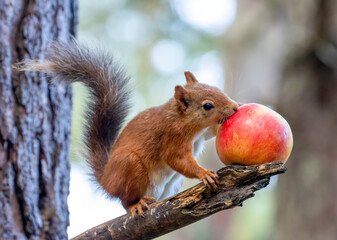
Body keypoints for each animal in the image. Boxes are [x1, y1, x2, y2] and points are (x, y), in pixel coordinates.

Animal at [19, 40, 238, 217]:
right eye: (207, 106)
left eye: (217, 88)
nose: (235, 107)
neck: (185, 122)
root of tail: (106, 181)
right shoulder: (172, 137)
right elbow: (178, 160)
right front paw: (204, 173)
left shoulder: (202, 133)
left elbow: (210, 133)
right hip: (129, 166)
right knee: (125, 201)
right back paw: (135, 205)